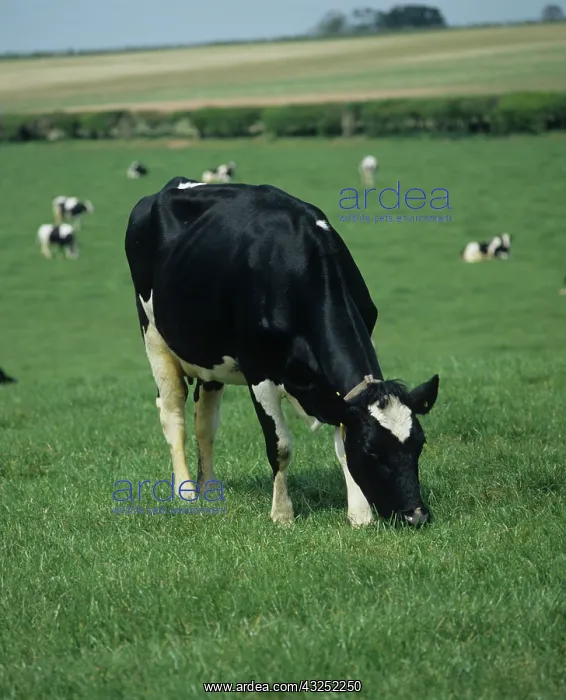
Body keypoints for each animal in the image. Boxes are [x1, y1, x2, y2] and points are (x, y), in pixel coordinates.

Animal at [125, 177, 440, 528]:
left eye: (419, 444)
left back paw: (209, 488)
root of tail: (174, 184)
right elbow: (281, 446)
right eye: (372, 450)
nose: (416, 515)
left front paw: (359, 514)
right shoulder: (259, 371)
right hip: (153, 337)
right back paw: (187, 493)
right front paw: (282, 514)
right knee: (173, 415)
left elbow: (342, 441)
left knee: (204, 424)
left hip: (209, 359)